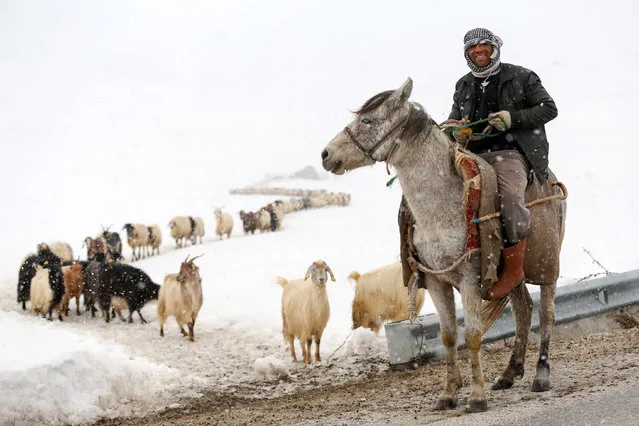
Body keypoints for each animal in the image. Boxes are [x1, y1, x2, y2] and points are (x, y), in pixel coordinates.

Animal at [322, 78, 568, 412]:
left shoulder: (470, 279)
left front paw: (476, 397)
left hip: (547, 266)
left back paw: (541, 376)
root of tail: (551, 180)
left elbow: (473, 335)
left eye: (368, 121)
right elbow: (449, 336)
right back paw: (508, 373)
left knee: (546, 314)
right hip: (512, 277)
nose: (326, 154)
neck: (441, 207)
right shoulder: (436, 282)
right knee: (523, 309)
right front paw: (449, 394)